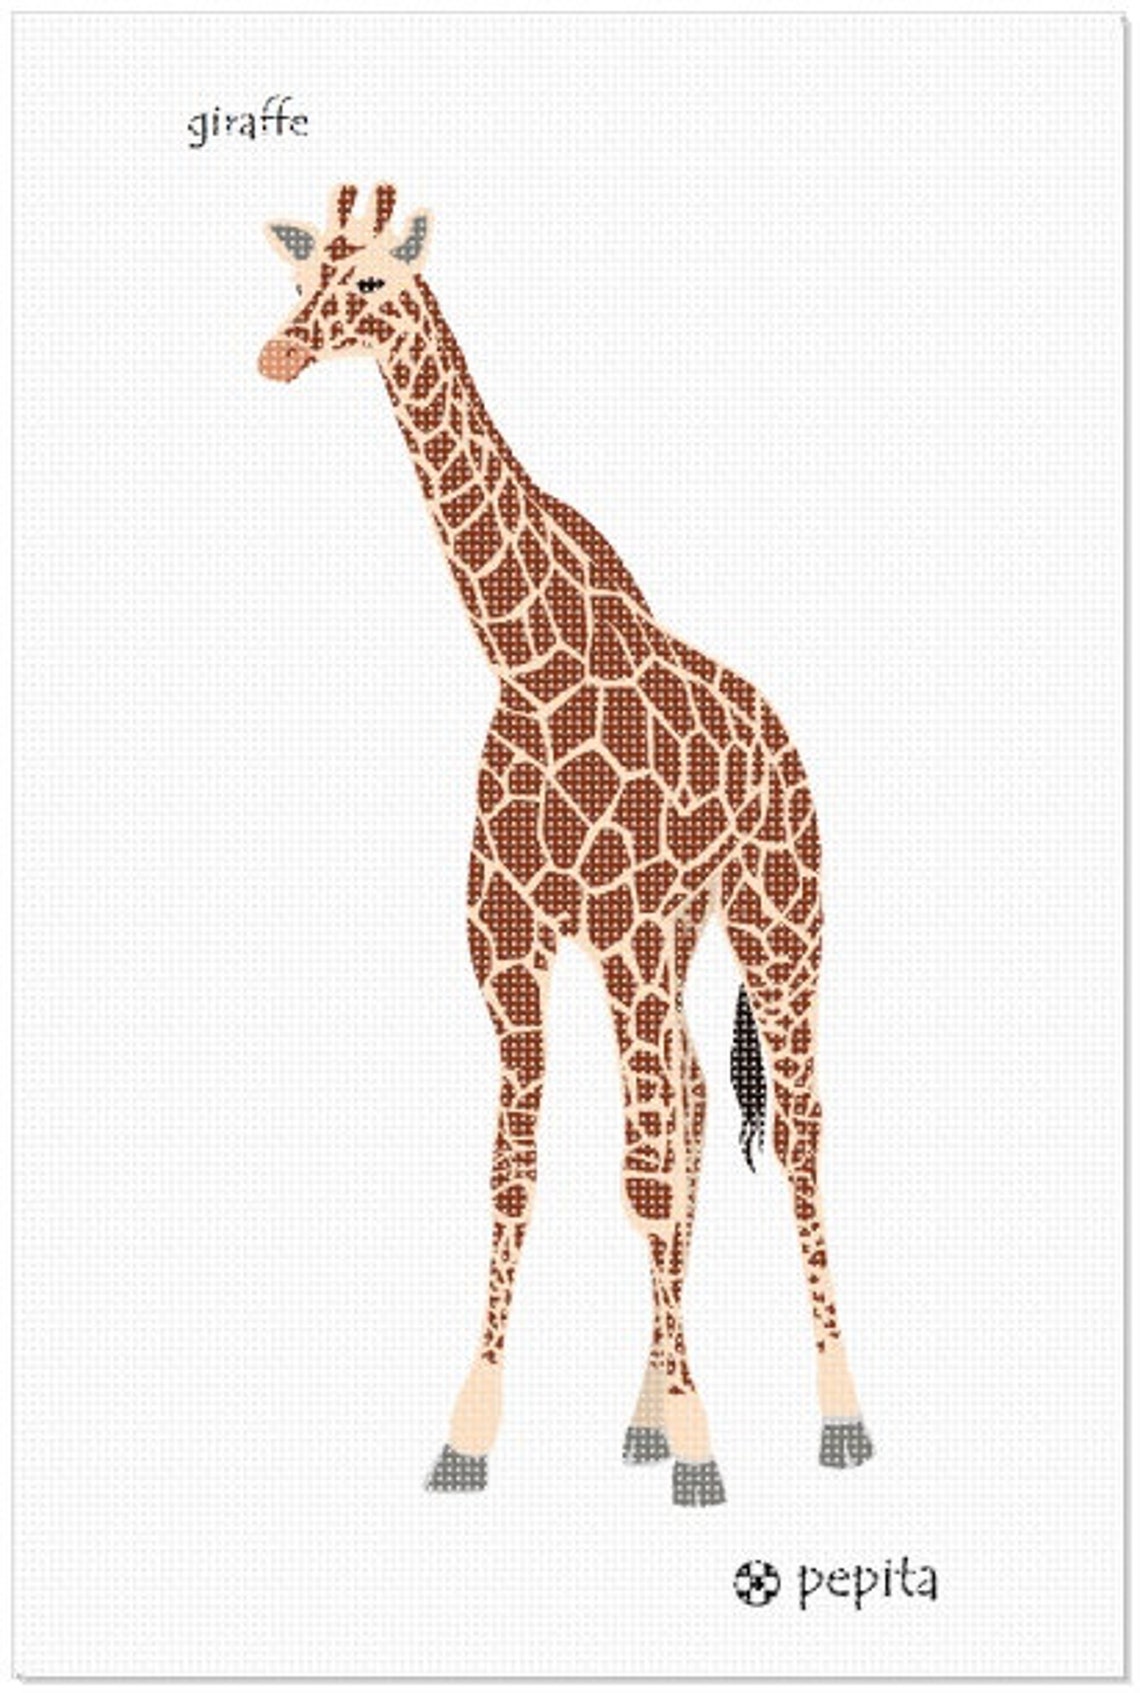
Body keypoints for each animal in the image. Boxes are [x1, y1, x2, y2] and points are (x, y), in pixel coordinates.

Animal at [258, 183, 873, 1506]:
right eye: (299, 277)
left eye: (373, 283)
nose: (278, 354)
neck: (529, 667)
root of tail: (787, 741)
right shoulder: (510, 942)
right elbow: (520, 1170)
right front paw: (472, 1434)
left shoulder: (627, 927)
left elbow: (641, 1175)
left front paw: (703, 1450)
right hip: (677, 940)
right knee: (690, 1100)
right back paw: (642, 1415)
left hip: (775, 920)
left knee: (793, 1132)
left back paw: (838, 1417)